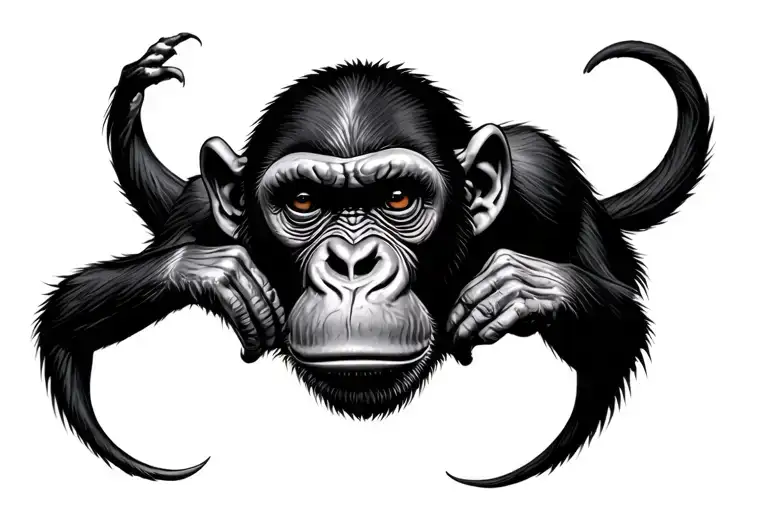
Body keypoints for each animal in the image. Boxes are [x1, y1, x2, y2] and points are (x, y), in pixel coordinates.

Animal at [33, 33, 711, 487]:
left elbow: (620, 321)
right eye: (304, 201)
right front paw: (212, 275)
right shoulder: (198, 211)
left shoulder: (546, 184)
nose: (354, 264)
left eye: (398, 199)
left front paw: (523, 287)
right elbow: (71, 313)